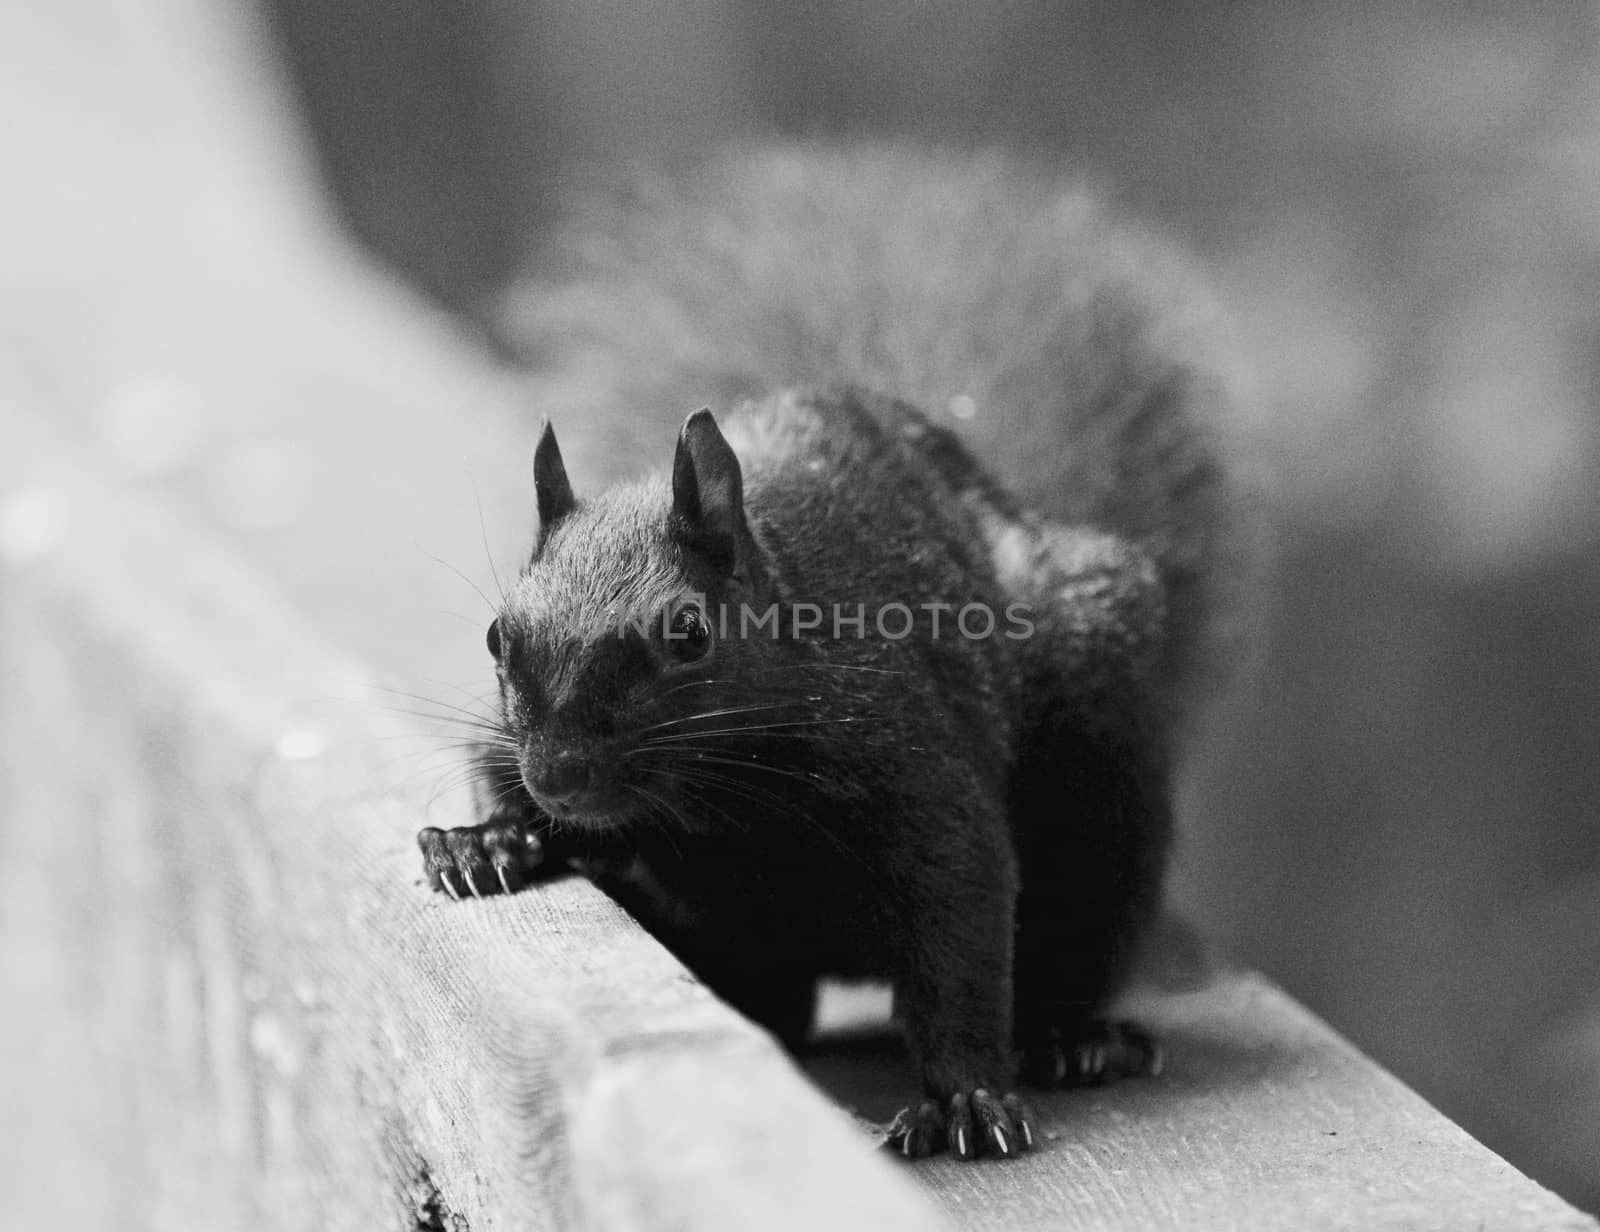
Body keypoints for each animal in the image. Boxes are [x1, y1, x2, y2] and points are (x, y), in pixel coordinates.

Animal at [416, 146, 1260, 1164]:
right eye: (497, 636)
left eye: (688, 634)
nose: (560, 779)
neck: (712, 799)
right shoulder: (508, 740)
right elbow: (488, 764)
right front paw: (488, 840)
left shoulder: (913, 768)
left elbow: (959, 928)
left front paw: (965, 1097)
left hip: (1100, 753)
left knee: (1075, 932)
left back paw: (1074, 1035)